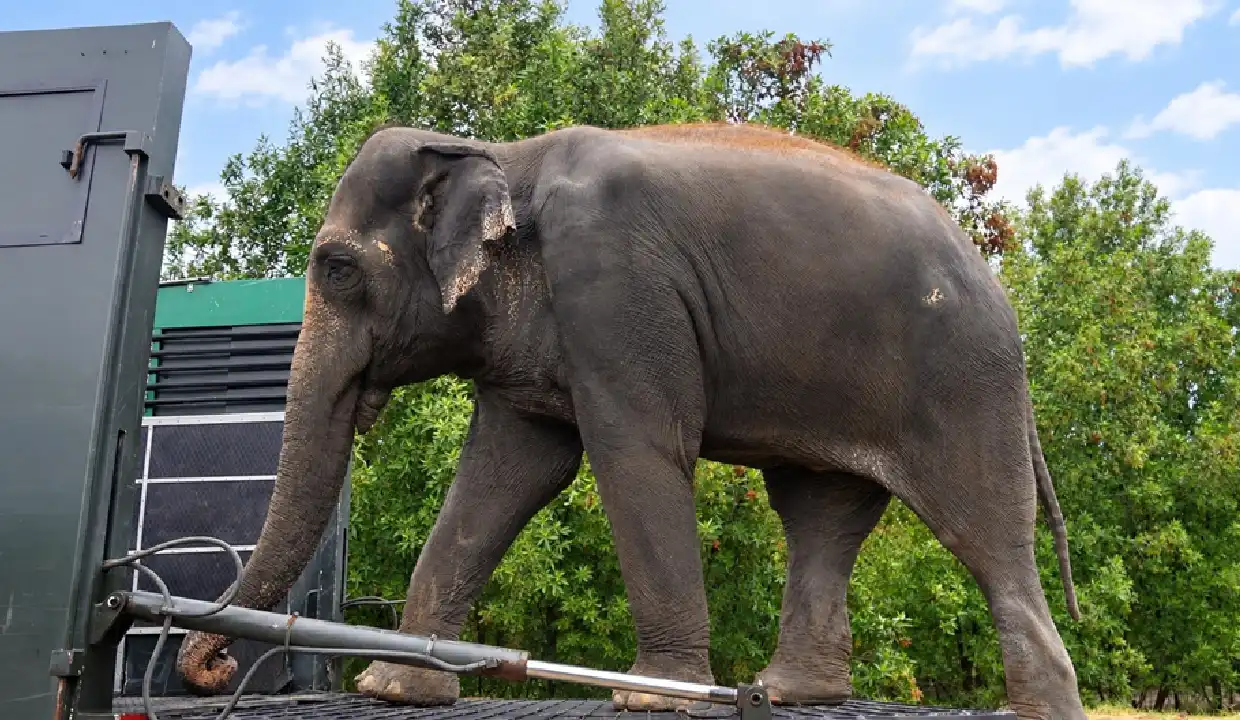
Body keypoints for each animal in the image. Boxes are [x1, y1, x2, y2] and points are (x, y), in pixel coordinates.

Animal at [176, 120, 1086, 720]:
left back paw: (1037, 707)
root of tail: (995, 279)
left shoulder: (616, 289)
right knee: (818, 518)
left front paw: (653, 698)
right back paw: (791, 692)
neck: (504, 153)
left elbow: (635, 451)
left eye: (336, 269)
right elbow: (508, 472)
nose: (211, 665)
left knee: (985, 533)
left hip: (964, 382)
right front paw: (396, 690)